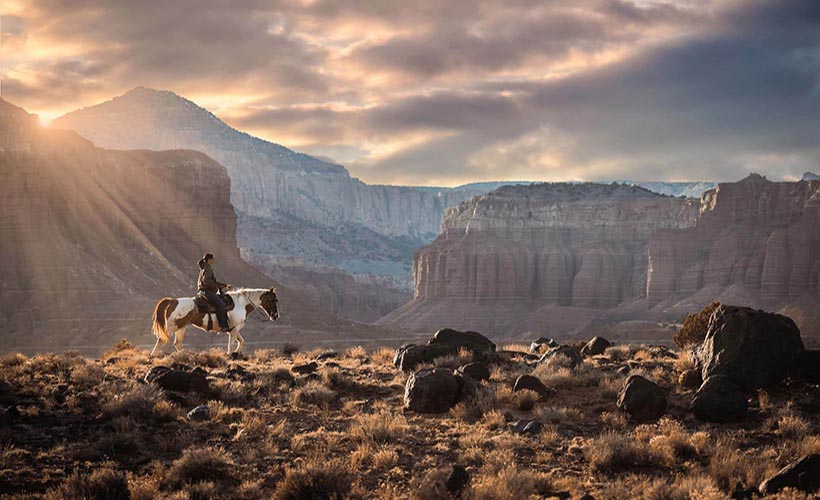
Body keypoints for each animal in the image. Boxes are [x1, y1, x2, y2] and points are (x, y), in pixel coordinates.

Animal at [152, 288, 280, 358]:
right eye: (272, 300)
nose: (275, 315)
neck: (241, 303)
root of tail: (172, 301)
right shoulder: (235, 329)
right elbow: (231, 344)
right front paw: (230, 355)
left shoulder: (234, 329)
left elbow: (241, 342)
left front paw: (235, 354)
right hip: (172, 327)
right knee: (161, 340)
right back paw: (153, 355)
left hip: (181, 327)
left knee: (177, 343)